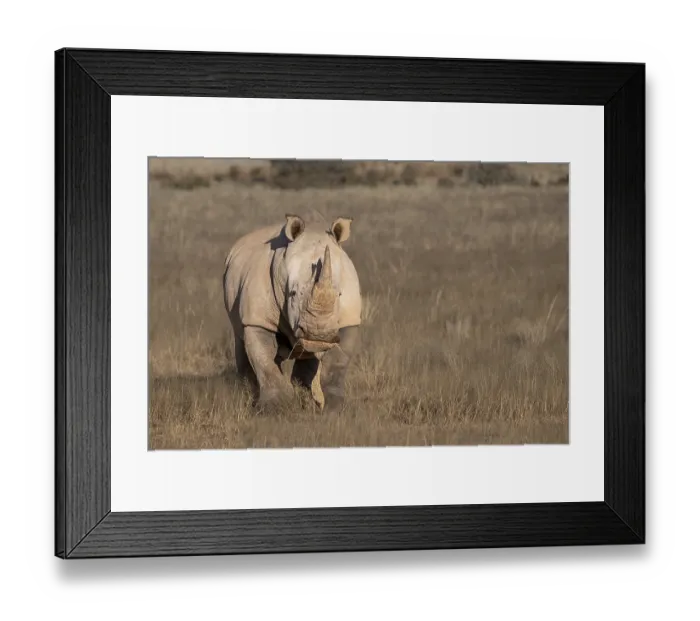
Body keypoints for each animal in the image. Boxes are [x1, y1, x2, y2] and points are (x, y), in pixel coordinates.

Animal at [223, 214, 361, 413]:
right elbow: (264, 359)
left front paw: (334, 407)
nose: (318, 336)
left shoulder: (349, 318)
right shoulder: (258, 318)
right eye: (293, 293)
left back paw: (306, 400)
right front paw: (274, 409)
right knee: (242, 343)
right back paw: (249, 398)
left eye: (339, 294)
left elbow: (338, 361)